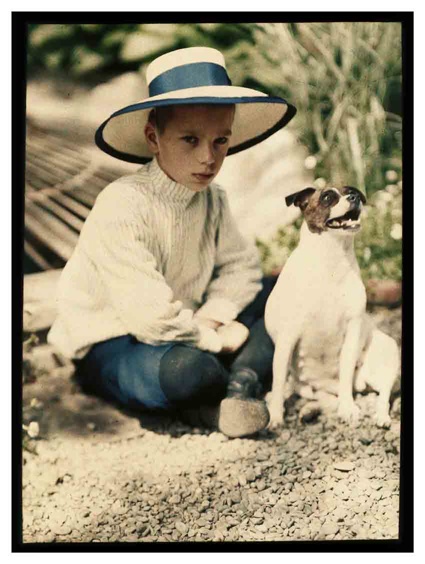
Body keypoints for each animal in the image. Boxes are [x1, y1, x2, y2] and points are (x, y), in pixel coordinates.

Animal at [264, 185, 400, 428]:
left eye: (352, 191)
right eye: (328, 197)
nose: (354, 197)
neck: (331, 260)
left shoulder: (351, 333)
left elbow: (345, 372)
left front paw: (348, 409)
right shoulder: (287, 339)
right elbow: (278, 383)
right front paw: (276, 417)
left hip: (388, 352)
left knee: (382, 394)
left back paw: (380, 416)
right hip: (305, 386)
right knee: (321, 398)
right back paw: (308, 411)